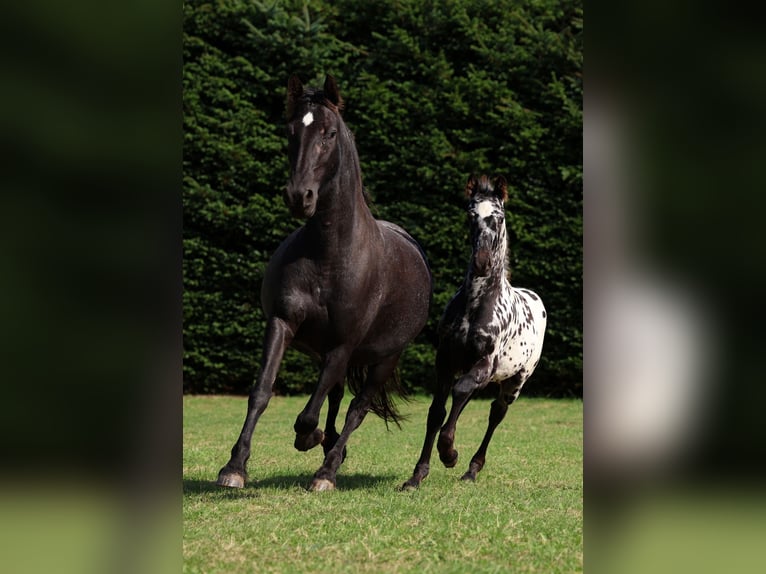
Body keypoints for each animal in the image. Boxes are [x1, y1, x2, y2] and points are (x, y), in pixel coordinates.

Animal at [216, 75, 432, 492]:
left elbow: (310, 414)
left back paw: (327, 471)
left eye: (329, 134)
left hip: (383, 359)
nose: (299, 196)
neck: (330, 254)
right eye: (290, 131)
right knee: (334, 397)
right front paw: (234, 467)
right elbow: (262, 391)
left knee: (356, 409)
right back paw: (331, 450)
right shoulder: (283, 324)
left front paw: (310, 440)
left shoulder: (342, 346)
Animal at [401, 175, 547, 490]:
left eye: (499, 217)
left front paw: (449, 454)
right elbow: (437, 412)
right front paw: (417, 475)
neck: (476, 305)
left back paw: (471, 469)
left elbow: (459, 393)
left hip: (514, 382)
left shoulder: (484, 363)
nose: (481, 263)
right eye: (470, 215)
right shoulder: (445, 361)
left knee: (496, 414)